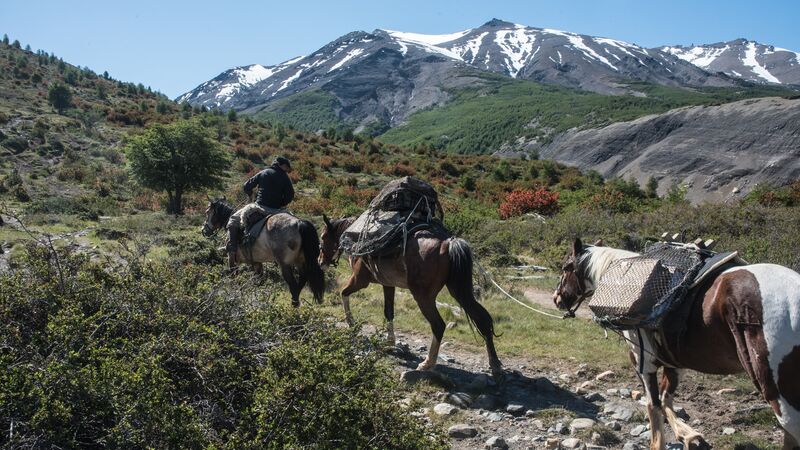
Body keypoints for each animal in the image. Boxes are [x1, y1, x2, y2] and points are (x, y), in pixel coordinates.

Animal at [318, 216, 500, 378]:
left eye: (323, 237)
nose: (320, 262)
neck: (356, 238)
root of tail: (449, 243)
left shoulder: (359, 280)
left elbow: (343, 293)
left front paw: (351, 323)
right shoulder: (388, 285)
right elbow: (388, 312)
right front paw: (390, 342)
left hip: (423, 296)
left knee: (438, 325)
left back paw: (427, 363)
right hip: (459, 291)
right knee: (482, 319)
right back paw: (495, 365)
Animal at [552, 237, 800, 448]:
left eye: (566, 267)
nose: (557, 299)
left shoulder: (644, 361)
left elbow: (654, 404)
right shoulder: (673, 361)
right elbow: (666, 398)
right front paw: (688, 435)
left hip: (780, 396)